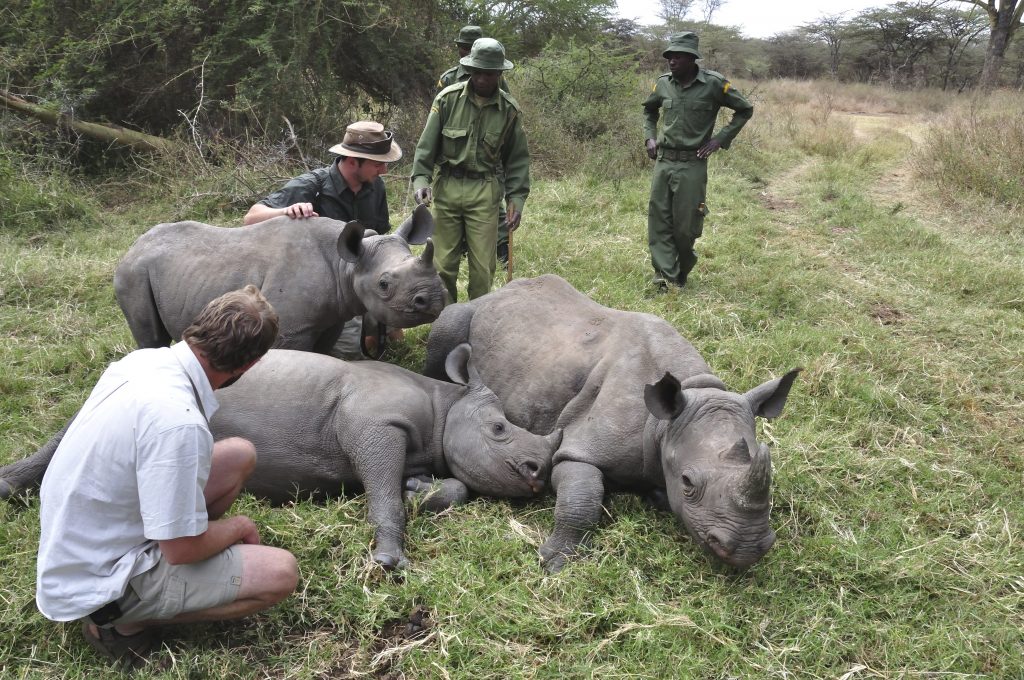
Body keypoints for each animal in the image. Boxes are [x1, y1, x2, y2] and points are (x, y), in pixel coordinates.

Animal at [2, 342, 561, 569]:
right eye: (499, 430)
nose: (539, 473)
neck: (446, 404)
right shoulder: (373, 423)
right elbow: (381, 489)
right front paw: (389, 559)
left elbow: (452, 484)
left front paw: (419, 492)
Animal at [114, 202, 446, 352]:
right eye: (384, 284)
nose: (436, 299)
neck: (347, 265)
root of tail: (133, 247)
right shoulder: (291, 330)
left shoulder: (330, 319)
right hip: (133, 274)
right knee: (150, 338)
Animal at [423, 274, 798, 569]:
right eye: (688, 482)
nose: (747, 549)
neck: (670, 418)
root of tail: (502, 289)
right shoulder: (581, 447)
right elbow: (583, 497)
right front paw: (556, 561)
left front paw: (657, 495)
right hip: (466, 313)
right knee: (448, 322)